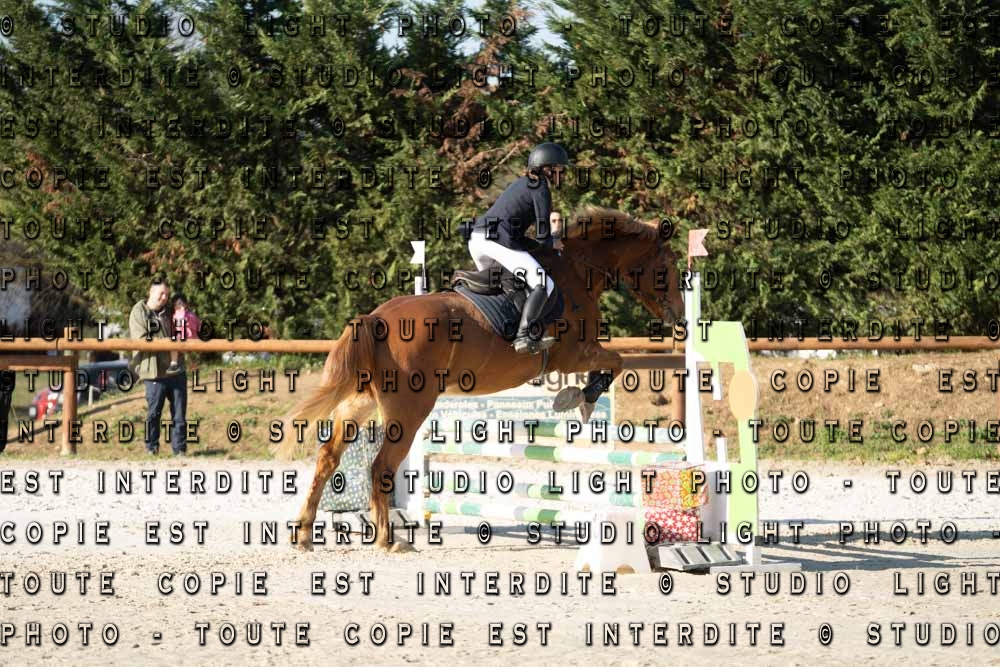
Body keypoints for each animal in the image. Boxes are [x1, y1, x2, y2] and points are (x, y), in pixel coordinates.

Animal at [273, 205, 686, 552]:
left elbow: (615, 362)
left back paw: (304, 535)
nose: (679, 317)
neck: (576, 271)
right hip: (409, 409)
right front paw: (580, 398)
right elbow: (616, 362)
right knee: (381, 467)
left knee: (328, 458)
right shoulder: (574, 353)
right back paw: (390, 541)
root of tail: (374, 318)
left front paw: (578, 397)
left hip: (360, 402)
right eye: (668, 264)